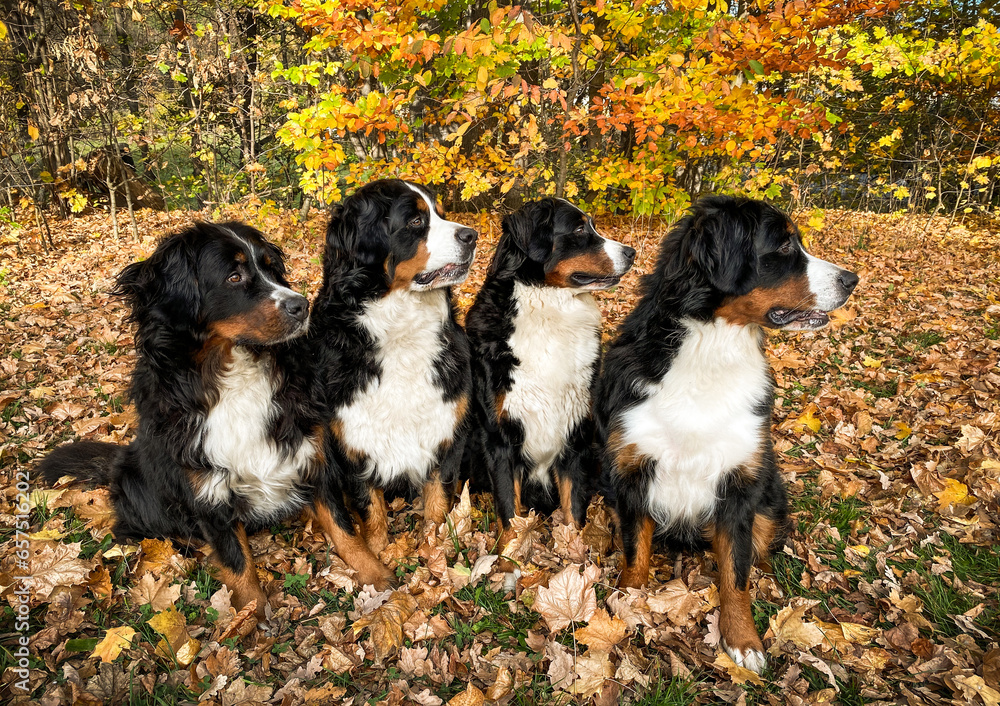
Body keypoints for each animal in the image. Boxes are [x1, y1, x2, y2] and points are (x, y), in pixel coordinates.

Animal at [39, 223, 386, 612]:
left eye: (271, 269)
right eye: (234, 277)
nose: (301, 305)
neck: (233, 374)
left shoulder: (309, 453)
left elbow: (344, 527)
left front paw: (376, 575)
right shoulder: (206, 489)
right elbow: (237, 561)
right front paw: (250, 615)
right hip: (137, 482)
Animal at [310, 179, 478, 564]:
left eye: (440, 212)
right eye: (415, 221)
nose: (472, 235)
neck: (401, 332)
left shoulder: (448, 429)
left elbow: (437, 499)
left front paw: (434, 547)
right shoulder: (350, 440)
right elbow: (369, 506)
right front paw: (378, 552)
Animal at [466, 197, 636, 568]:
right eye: (579, 229)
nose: (631, 252)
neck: (549, 313)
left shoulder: (575, 431)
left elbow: (574, 507)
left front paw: (575, 556)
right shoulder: (499, 438)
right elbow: (509, 510)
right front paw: (507, 562)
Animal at [592, 194, 860, 672]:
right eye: (783, 245)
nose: (852, 280)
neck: (709, 350)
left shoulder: (738, 482)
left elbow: (736, 573)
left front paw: (743, 640)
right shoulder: (631, 471)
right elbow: (635, 552)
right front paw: (626, 604)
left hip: (770, 493)